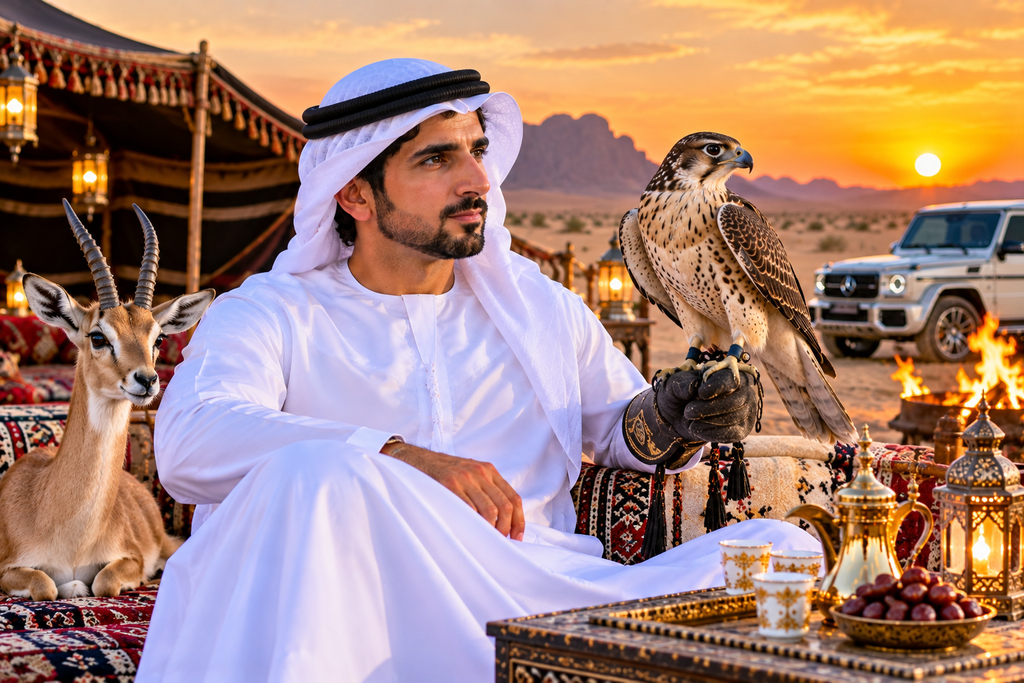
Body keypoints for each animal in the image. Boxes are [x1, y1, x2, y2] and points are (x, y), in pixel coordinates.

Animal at [0, 200, 214, 600]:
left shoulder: (129, 559)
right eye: (98, 336)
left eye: (158, 338)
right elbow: (46, 585)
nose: (146, 380)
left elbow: (104, 580)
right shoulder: (7, 569)